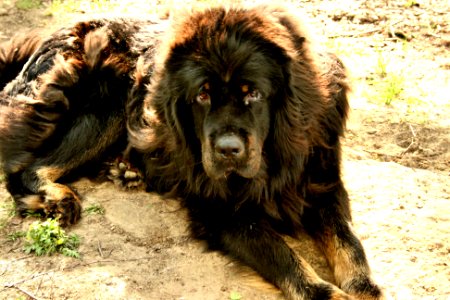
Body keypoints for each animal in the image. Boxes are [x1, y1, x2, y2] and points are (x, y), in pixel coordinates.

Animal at [0, 5, 384, 300]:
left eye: (253, 94)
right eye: (202, 95)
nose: (228, 150)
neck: (275, 158)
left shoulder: (321, 183)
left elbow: (348, 240)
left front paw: (364, 286)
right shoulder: (223, 210)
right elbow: (282, 255)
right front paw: (326, 292)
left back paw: (126, 170)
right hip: (108, 106)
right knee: (28, 168)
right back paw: (57, 198)